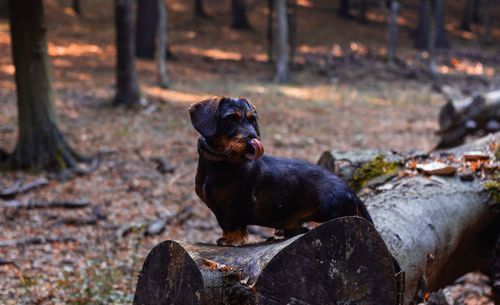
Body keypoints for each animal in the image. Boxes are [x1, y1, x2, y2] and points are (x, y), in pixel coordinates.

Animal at [188, 96, 376, 246]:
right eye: (231, 119)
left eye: (252, 119)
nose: (253, 142)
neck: (220, 164)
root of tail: (353, 193)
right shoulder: (216, 207)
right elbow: (225, 224)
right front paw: (225, 238)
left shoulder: (241, 202)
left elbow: (235, 224)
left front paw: (233, 241)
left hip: (330, 207)